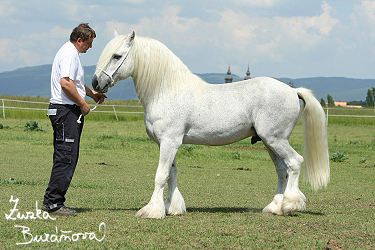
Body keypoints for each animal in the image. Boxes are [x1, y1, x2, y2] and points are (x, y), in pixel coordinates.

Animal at [92, 31, 330, 219]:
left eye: (116, 56)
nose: (95, 83)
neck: (167, 91)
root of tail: (292, 90)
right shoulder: (168, 143)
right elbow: (172, 173)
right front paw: (172, 208)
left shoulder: (169, 142)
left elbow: (161, 175)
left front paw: (151, 211)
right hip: (269, 142)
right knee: (282, 170)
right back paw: (275, 207)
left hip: (276, 139)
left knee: (295, 163)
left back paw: (290, 204)